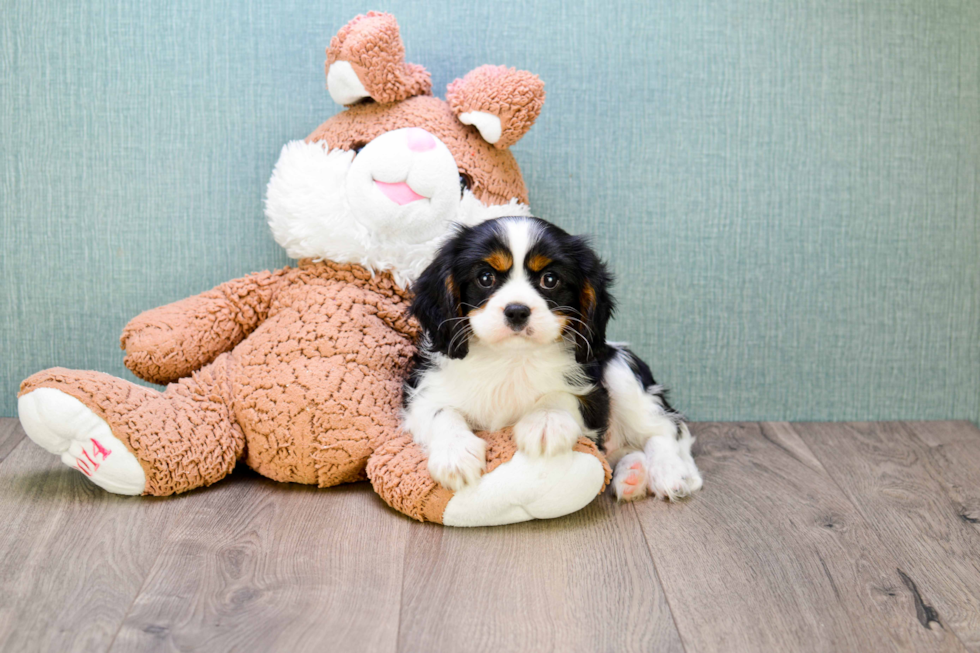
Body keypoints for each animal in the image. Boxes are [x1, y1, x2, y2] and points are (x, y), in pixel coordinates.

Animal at [402, 216, 700, 502]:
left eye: (550, 279)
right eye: (485, 278)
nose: (517, 311)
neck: (511, 358)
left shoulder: (592, 394)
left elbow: (561, 396)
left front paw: (545, 421)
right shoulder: (422, 391)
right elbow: (441, 411)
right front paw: (455, 454)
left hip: (620, 368)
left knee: (666, 429)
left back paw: (671, 473)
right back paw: (633, 476)